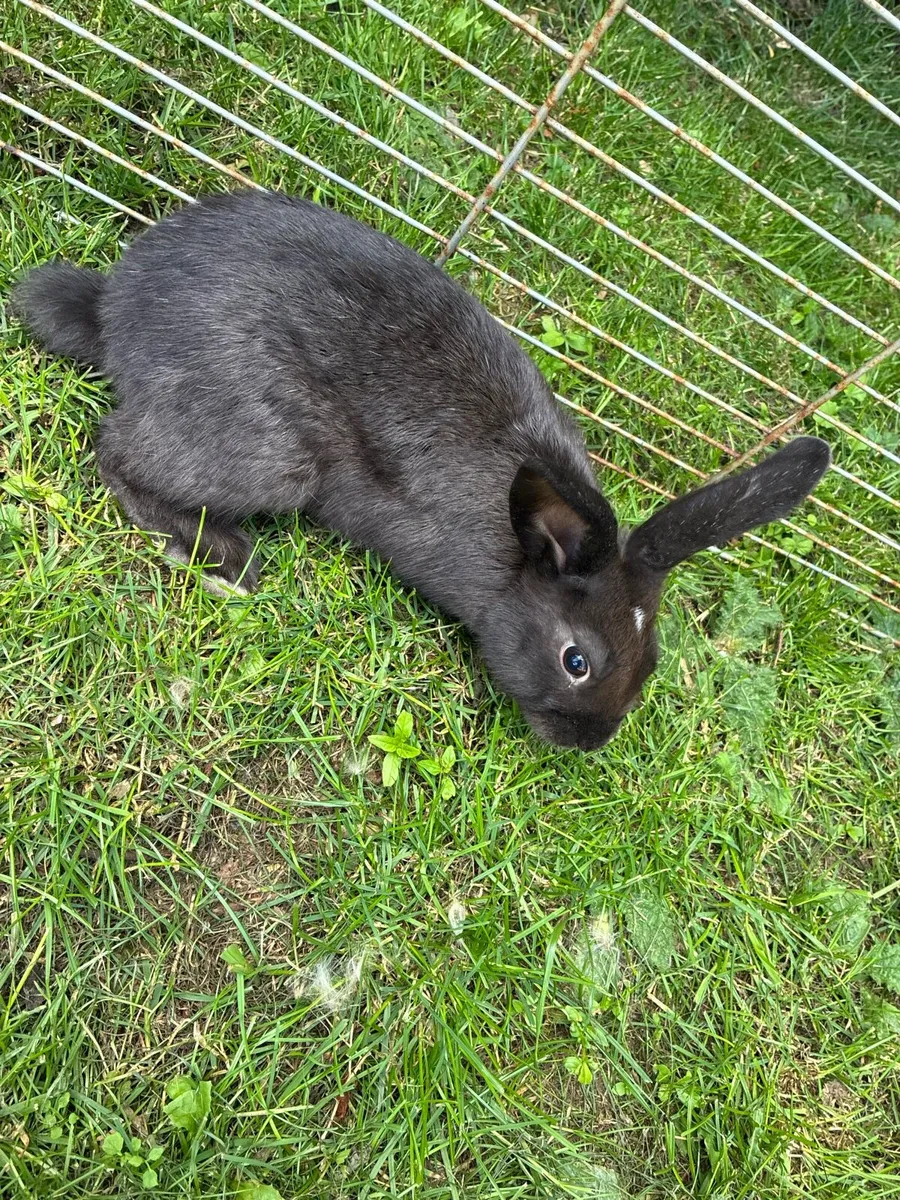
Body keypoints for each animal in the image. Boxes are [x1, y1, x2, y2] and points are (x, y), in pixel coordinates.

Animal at [13, 189, 831, 750]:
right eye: (576, 660)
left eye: (653, 662)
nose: (588, 743)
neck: (517, 551)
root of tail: (113, 312)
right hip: (274, 458)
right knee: (116, 450)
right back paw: (223, 560)